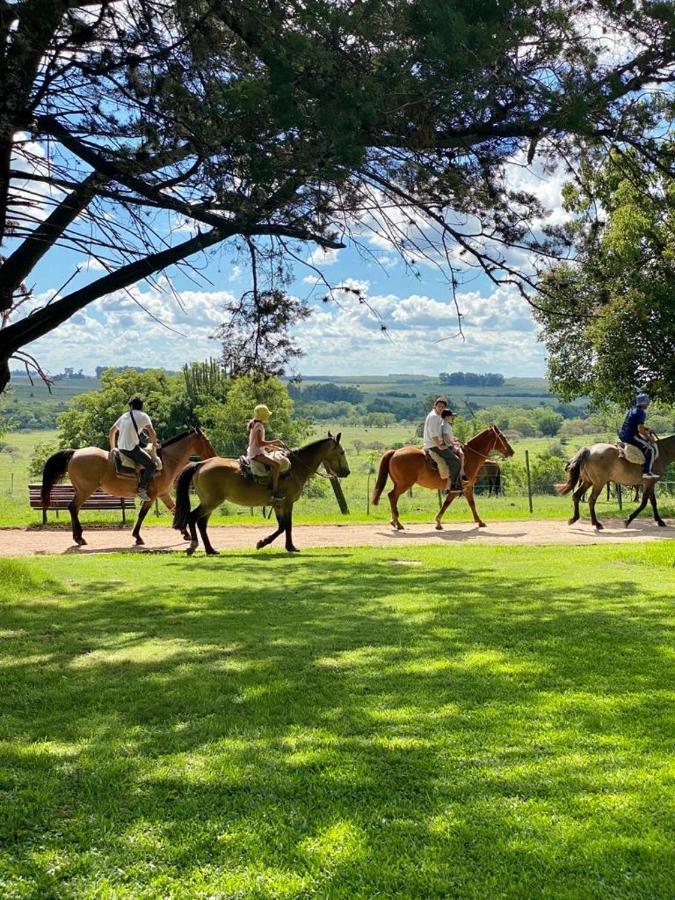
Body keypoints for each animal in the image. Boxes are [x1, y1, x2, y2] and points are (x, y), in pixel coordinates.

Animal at [41, 428, 215, 548]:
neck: (165, 462)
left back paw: (77, 537)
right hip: (85, 491)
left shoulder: (163, 494)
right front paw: (137, 537)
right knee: (72, 508)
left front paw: (185, 534)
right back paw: (80, 538)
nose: (213, 456)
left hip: (81, 491)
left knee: (73, 509)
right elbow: (142, 515)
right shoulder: (151, 496)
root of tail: (75, 453)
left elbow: (173, 509)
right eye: (206, 440)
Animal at [172, 430, 352, 552]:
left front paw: (287, 546)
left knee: (201, 523)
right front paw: (268, 543)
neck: (296, 467)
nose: (347, 472)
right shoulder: (287, 502)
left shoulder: (279, 505)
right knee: (192, 518)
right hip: (211, 501)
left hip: (209, 502)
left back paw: (211, 550)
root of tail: (201, 464)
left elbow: (283, 526)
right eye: (342, 452)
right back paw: (193, 546)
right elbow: (286, 525)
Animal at [372, 426, 516, 532]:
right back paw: (398, 523)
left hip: (399, 484)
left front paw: (479, 522)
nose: (511, 451)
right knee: (392, 496)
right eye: (503, 437)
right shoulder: (456, 489)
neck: (469, 457)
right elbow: (446, 504)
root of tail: (394, 452)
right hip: (404, 484)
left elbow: (471, 504)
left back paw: (394, 521)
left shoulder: (467, 487)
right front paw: (438, 522)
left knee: (393, 497)